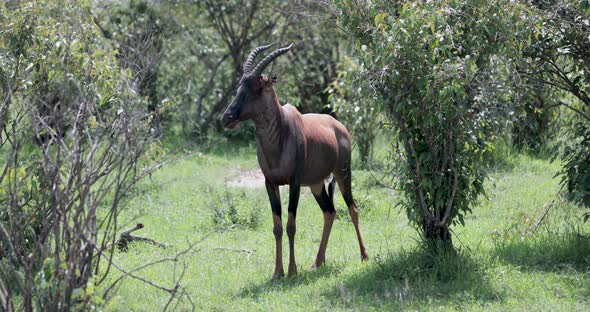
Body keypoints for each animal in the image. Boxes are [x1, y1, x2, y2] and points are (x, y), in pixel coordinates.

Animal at [222, 42, 370, 280]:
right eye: (239, 86)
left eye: (256, 88)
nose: (226, 118)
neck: (281, 134)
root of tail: (339, 126)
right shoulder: (270, 183)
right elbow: (277, 227)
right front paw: (277, 273)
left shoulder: (294, 183)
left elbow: (291, 225)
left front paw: (292, 271)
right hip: (317, 185)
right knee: (330, 212)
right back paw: (318, 261)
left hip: (343, 173)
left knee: (352, 209)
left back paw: (364, 255)